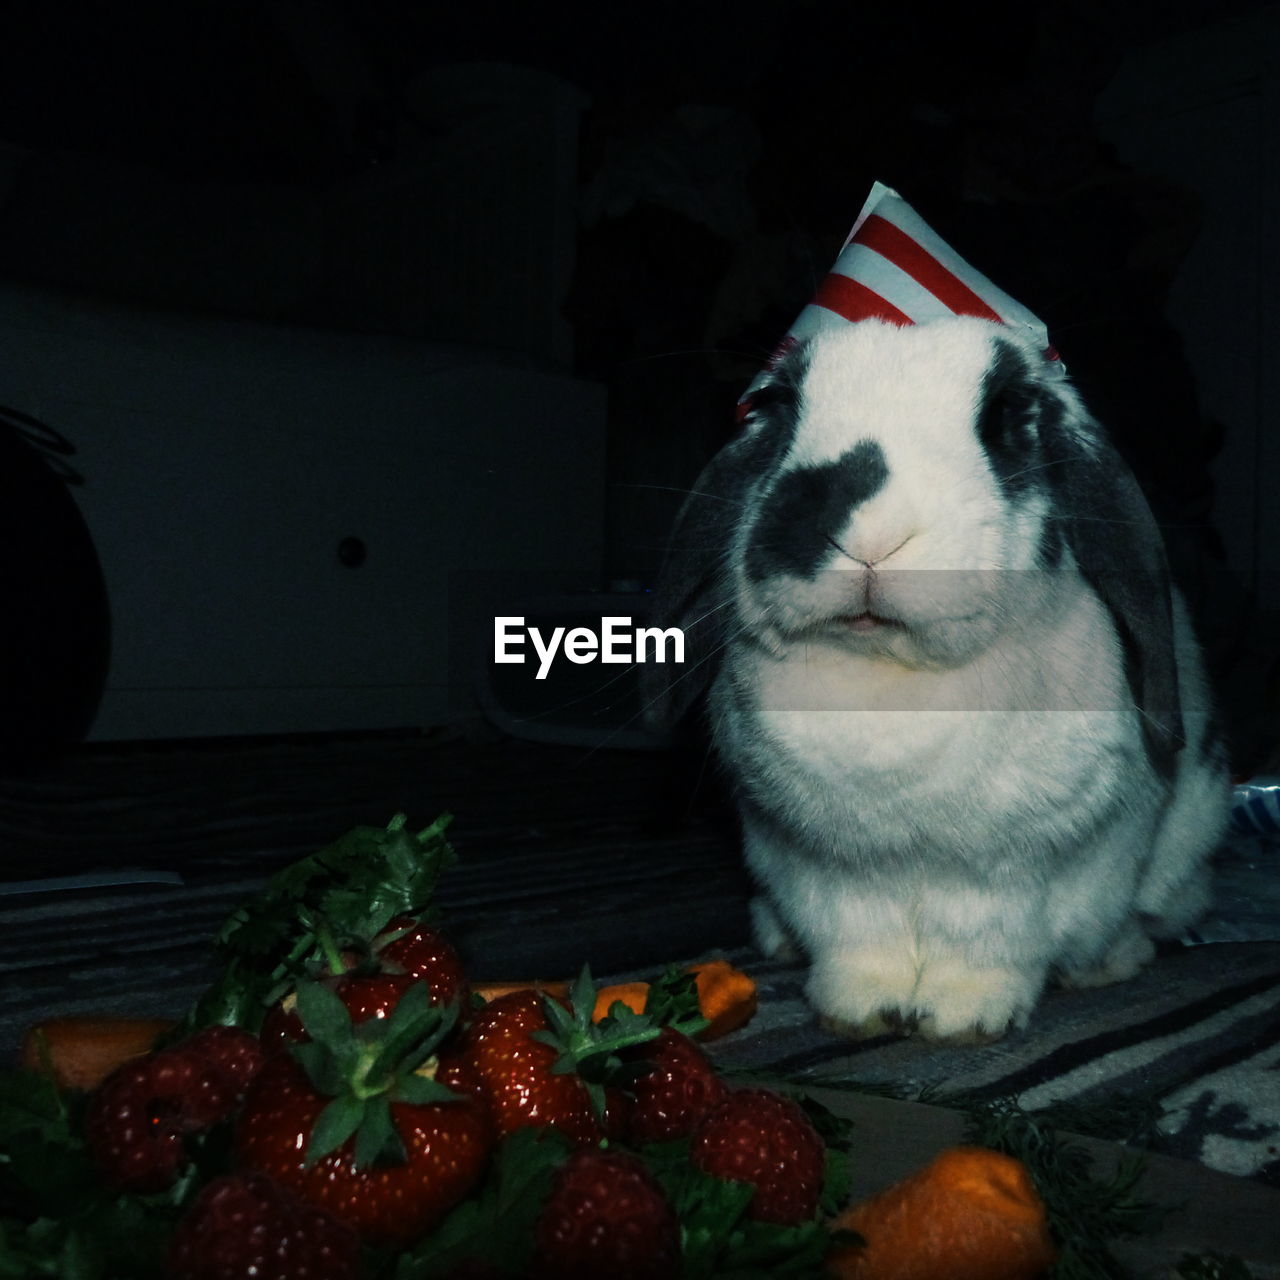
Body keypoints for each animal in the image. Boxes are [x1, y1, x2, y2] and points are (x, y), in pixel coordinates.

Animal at [650, 317, 1228, 1039]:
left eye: (1005, 413)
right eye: (781, 406)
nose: (867, 532)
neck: (894, 683)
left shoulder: (1016, 875)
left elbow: (988, 945)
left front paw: (963, 1019)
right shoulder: (827, 866)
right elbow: (856, 938)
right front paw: (861, 1011)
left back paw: (1110, 961)